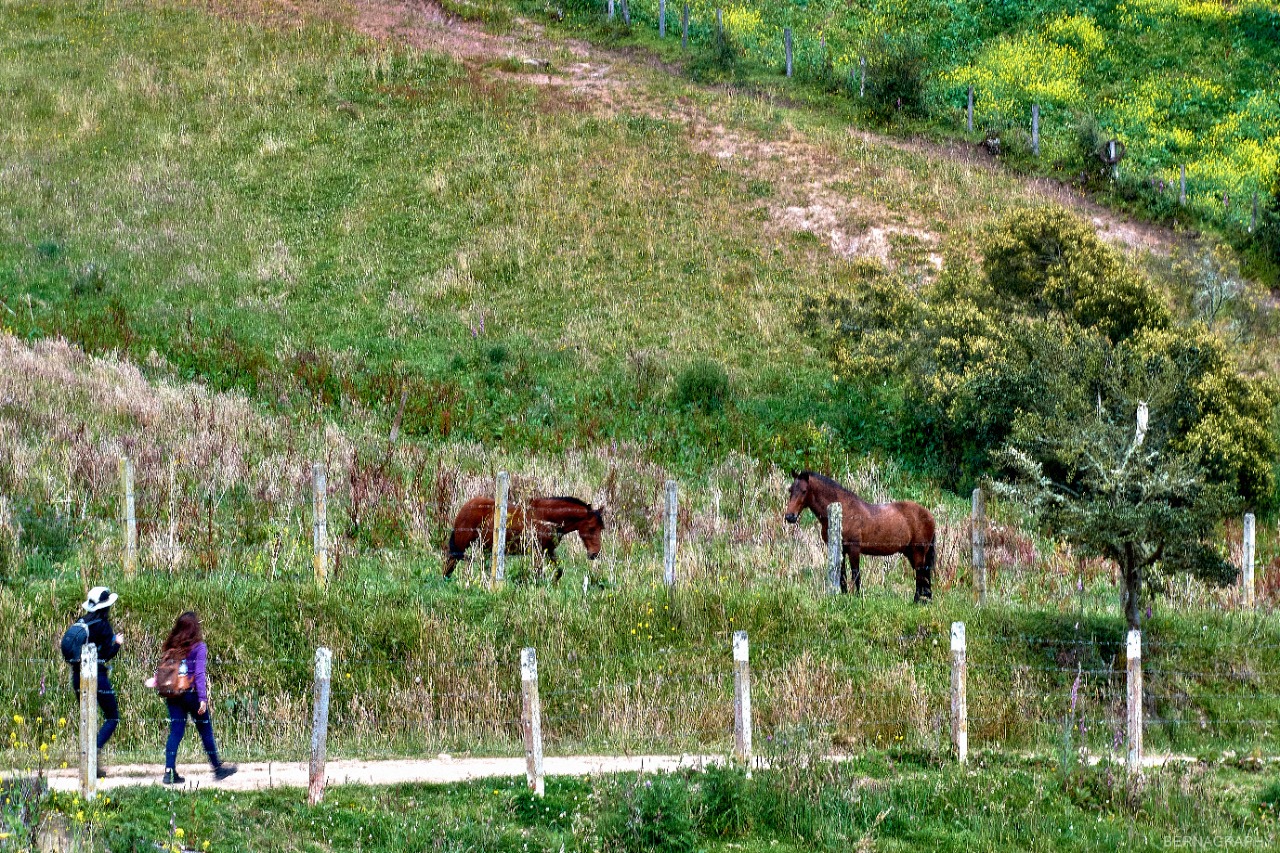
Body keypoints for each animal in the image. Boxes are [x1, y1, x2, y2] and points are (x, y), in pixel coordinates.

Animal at [442, 494, 606, 581]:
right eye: (591, 528)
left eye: (601, 529)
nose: (595, 553)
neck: (546, 517)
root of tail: (466, 507)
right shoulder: (537, 551)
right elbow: (539, 572)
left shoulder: (549, 550)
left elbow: (558, 571)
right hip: (462, 543)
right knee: (450, 562)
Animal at [783, 468, 936, 601]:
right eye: (790, 490)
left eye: (804, 491)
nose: (790, 516)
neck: (844, 512)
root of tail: (929, 515)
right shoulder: (841, 550)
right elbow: (842, 574)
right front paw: (844, 595)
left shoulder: (854, 549)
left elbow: (855, 573)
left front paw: (856, 597)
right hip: (911, 552)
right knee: (924, 574)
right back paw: (926, 599)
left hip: (918, 551)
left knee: (921, 573)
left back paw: (917, 600)